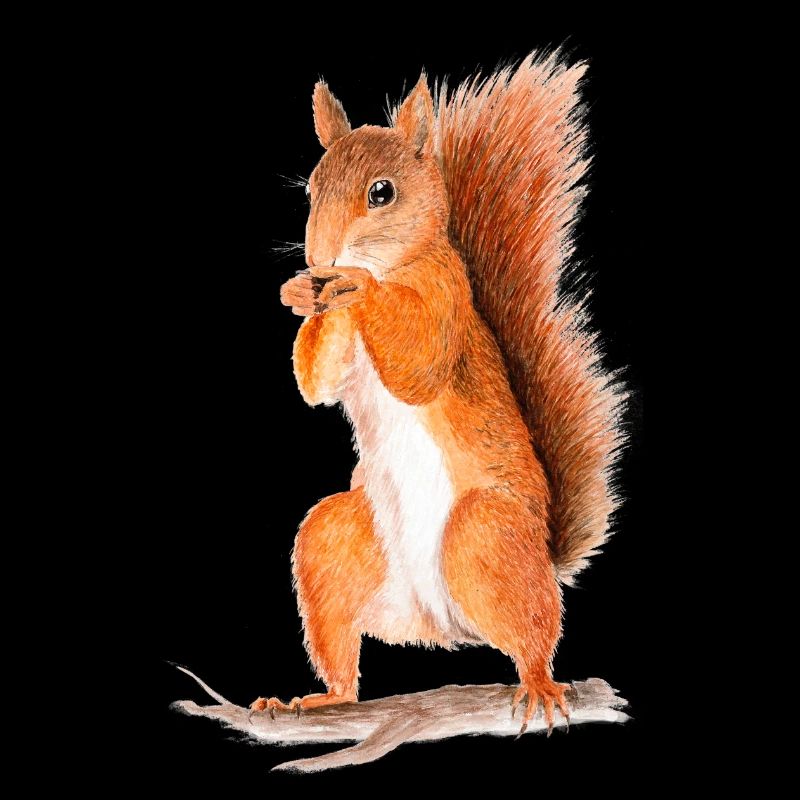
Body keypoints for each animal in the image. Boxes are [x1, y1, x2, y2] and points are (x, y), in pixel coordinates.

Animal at [252, 51, 624, 734]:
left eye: (382, 192)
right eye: (311, 188)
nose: (321, 257)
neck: (394, 262)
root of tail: (440, 626)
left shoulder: (447, 297)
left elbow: (418, 364)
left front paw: (353, 285)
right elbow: (318, 385)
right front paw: (302, 294)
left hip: (486, 535)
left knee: (535, 634)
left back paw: (539, 683)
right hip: (332, 545)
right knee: (343, 650)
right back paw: (319, 698)